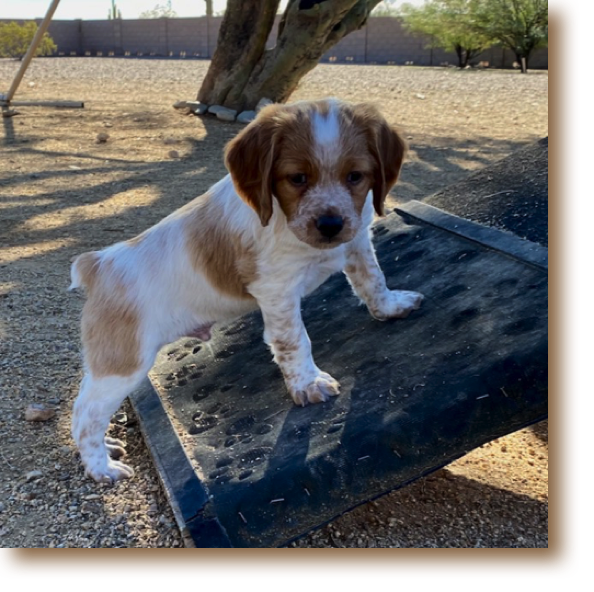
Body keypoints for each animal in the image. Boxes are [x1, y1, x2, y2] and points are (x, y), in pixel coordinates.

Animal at [68, 99, 420, 484]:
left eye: (355, 176)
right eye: (297, 178)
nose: (330, 225)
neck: (284, 219)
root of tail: (98, 264)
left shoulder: (356, 242)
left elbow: (373, 279)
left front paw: (391, 306)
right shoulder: (277, 289)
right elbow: (295, 341)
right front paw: (309, 384)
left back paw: (108, 448)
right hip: (124, 364)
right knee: (85, 414)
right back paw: (102, 467)